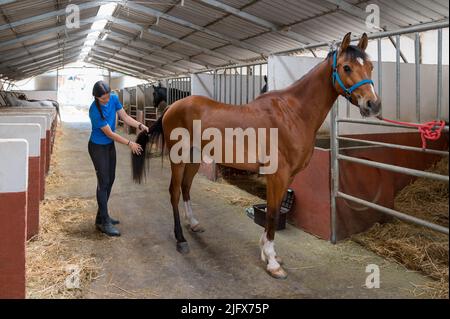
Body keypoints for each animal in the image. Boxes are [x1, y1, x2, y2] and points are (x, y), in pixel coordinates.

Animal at [133, 33, 380, 280]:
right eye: (346, 67)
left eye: (370, 66)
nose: (373, 104)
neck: (292, 114)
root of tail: (172, 107)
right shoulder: (277, 175)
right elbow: (271, 214)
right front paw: (272, 262)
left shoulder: (288, 176)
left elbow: (275, 209)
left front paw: (268, 252)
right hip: (179, 158)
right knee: (174, 192)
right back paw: (181, 239)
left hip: (194, 158)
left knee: (185, 188)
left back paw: (193, 223)